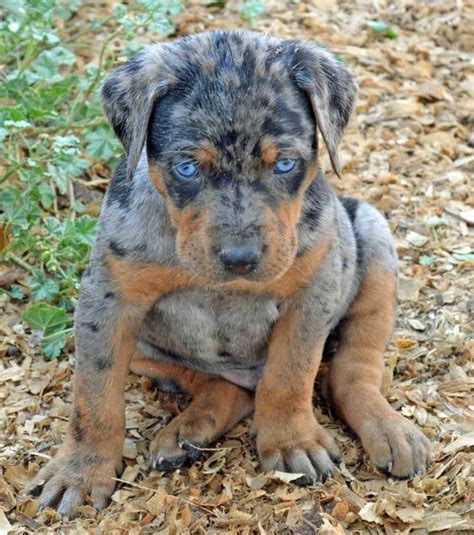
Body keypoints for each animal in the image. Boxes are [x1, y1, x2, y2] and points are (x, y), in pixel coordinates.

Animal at [27, 31, 432, 516]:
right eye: (186, 167)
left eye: (284, 164)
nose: (240, 258)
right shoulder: (108, 302)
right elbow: (94, 395)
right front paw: (81, 471)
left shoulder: (314, 291)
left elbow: (290, 374)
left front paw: (291, 441)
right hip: (144, 346)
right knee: (223, 385)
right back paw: (187, 431)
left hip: (372, 241)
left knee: (350, 370)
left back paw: (389, 429)